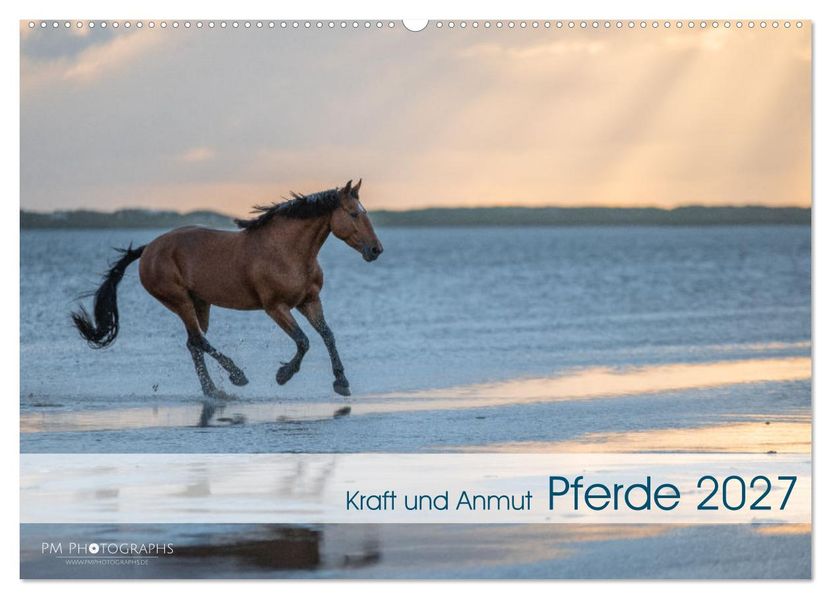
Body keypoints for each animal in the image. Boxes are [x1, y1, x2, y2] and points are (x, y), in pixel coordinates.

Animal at [71, 179, 383, 398]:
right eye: (353, 214)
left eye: (364, 212)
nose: (376, 250)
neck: (289, 251)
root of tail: (148, 249)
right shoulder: (275, 307)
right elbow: (303, 340)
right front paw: (283, 375)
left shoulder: (309, 301)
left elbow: (327, 335)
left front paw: (341, 382)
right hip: (179, 301)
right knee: (198, 341)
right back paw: (237, 376)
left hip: (200, 304)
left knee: (193, 343)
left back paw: (214, 391)